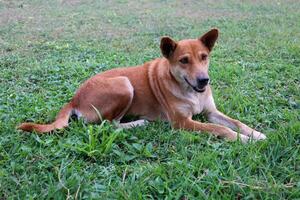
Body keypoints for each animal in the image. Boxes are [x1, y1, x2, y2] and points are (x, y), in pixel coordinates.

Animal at [18, 28, 266, 143]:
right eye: (184, 61)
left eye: (204, 57)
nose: (204, 80)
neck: (189, 91)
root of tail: (74, 98)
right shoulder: (182, 122)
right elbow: (220, 129)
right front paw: (244, 140)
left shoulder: (210, 112)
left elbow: (234, 122)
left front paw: (255, 133)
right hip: (124, 84)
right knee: (109, 125)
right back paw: (139, 123)